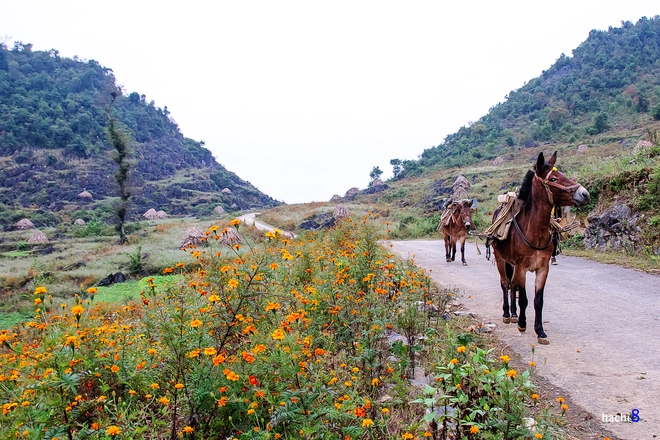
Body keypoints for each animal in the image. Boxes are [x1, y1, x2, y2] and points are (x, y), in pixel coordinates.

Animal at [492, 151, 592, 344]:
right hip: (500, 259)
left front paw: (540, 331)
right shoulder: (522, 267)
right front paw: (522, 324)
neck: (535, 232)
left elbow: (538, 301)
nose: (585, 194)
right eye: (553, 178)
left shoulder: (543, 268)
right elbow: (523, 298)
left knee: (512, 285)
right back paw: (508, 314)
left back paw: (514, 314)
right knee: (505, 284)